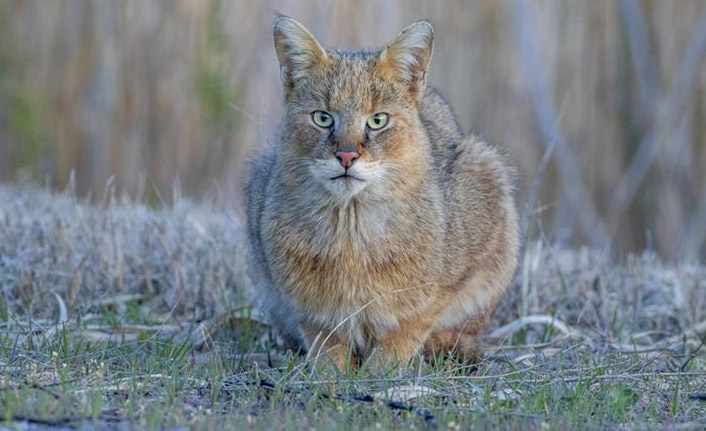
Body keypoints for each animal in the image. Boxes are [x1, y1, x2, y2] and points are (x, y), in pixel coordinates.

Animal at [246, 16, 516, 372]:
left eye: (377, 120)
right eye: (322, 117)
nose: (346, 156)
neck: (350, 228)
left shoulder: (451, 281)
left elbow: (408, 328)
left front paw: (381, 372)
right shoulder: (305, 303)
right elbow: (325, 343)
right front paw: (331, 374)